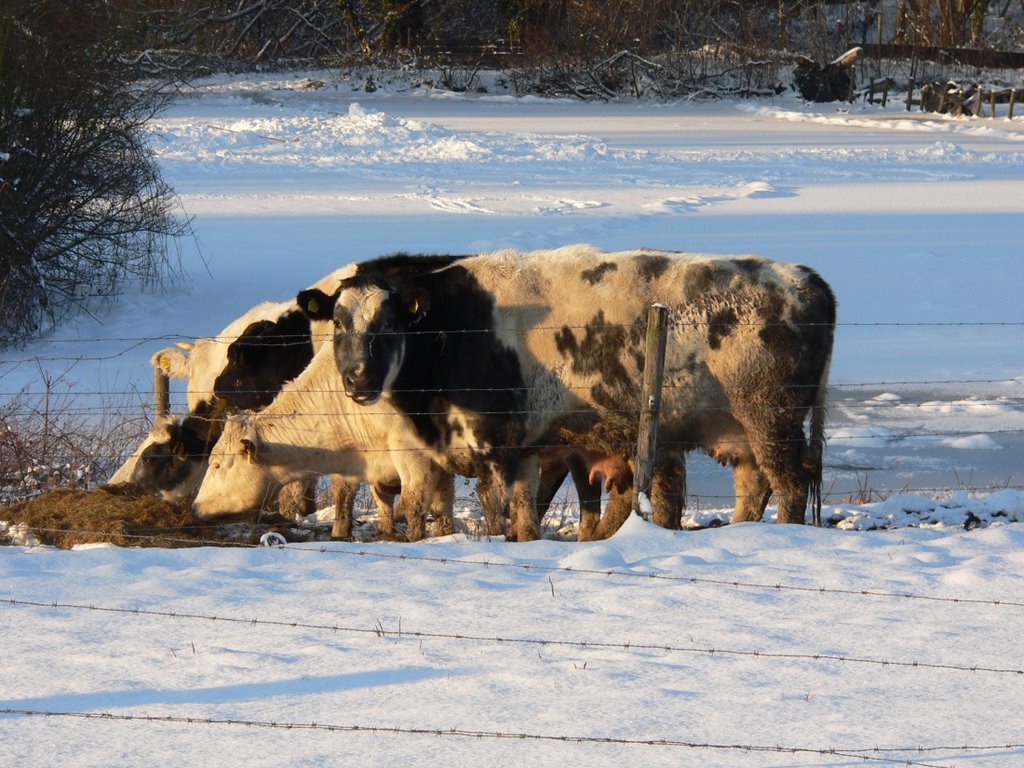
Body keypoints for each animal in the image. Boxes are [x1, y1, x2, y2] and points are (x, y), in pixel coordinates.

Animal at [299, 246, 835, 540]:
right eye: (339, 322)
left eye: (388, 324)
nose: (358, 378)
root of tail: (805, 279)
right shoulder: (527, 450)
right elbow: (523, 515)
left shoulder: (497, 443)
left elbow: (497, 512)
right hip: (740, 433)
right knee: (754, 487)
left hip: (771, 420)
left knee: (789, 484)